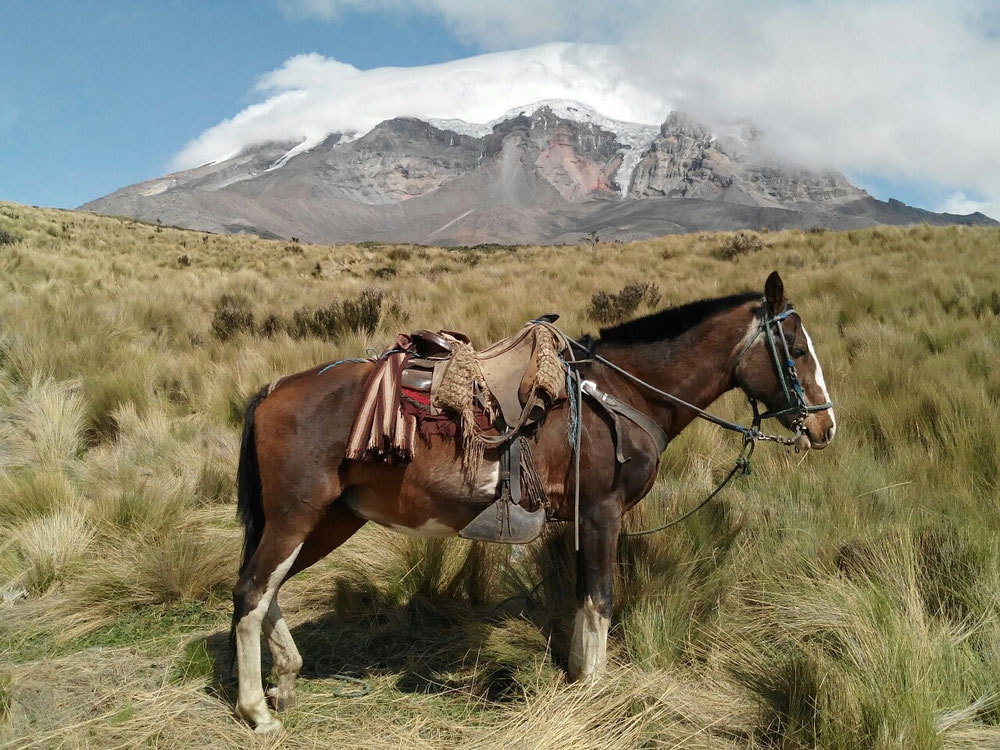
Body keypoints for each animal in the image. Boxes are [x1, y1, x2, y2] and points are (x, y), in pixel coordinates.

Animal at [230, 270, 836, 733]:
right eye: (796, 350)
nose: (825, 426)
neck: (623, 394)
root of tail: (273, 390)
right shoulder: (602, 514)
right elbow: (600, 600)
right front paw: (594, 690)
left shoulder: (582, 521)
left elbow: (581, 600)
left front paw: (577, 678)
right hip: (297, 515)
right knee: (252, 591)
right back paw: (258, 710)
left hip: (330, 519)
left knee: (267, 589)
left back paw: (286, 680)